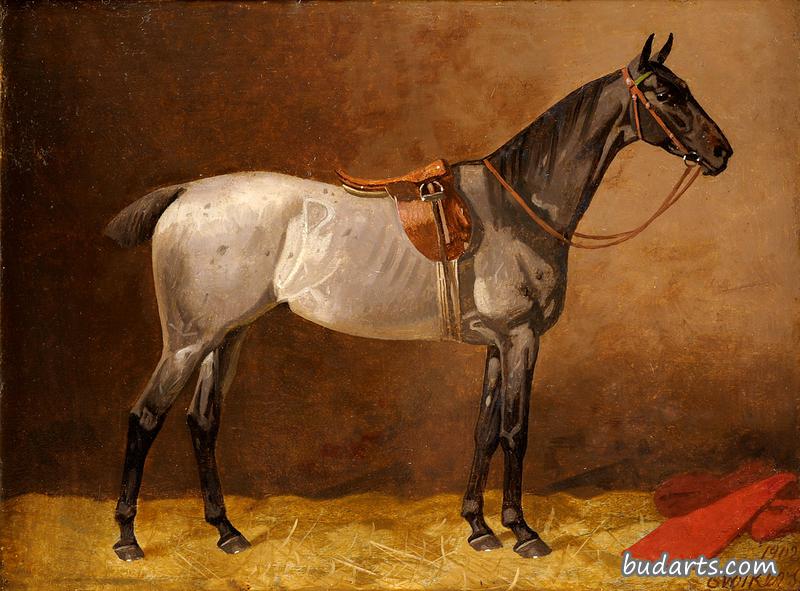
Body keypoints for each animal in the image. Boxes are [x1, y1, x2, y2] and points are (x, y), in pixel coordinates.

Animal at [105, 34, 732, 561]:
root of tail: (185, 193)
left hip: (228, 336)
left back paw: (226, 530)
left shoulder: (497, 345)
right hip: (189, 342)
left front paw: (479, 526)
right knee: (145, 418)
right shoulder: (521, 338)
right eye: (666, 94)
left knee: (202, 420)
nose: (722, 151)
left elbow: (484, 428)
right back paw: (128, 538)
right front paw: (522, 530)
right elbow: (516, 429)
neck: (520, 204)